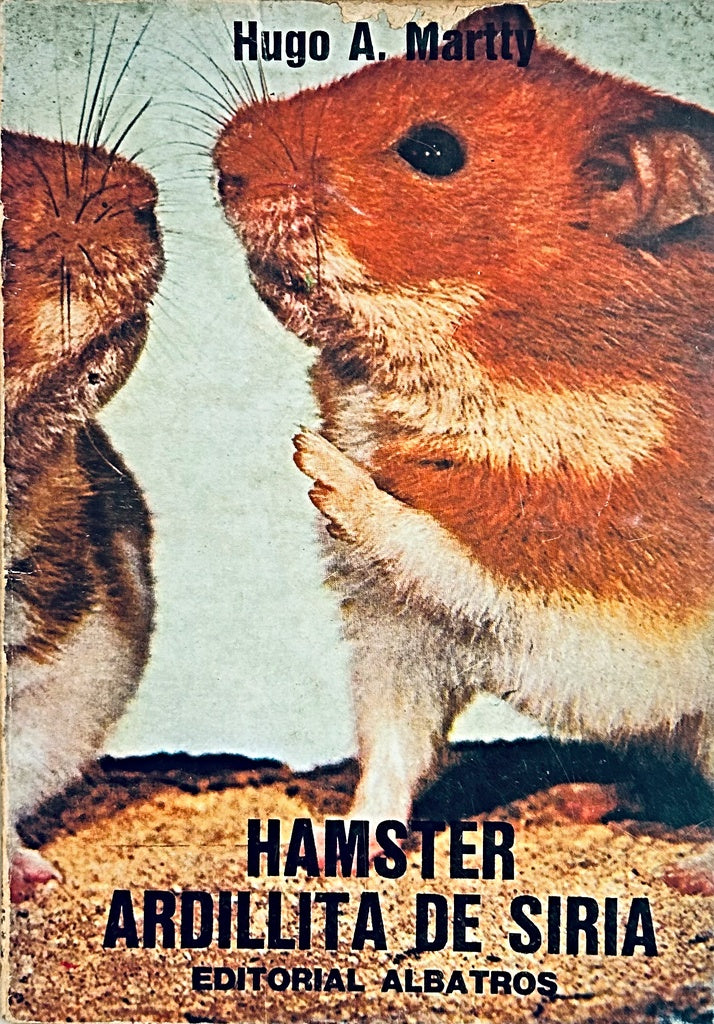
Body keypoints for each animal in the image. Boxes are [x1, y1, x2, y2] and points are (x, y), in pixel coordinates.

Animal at [213, 4, 714, 891]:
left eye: (434, 151)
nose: (220, 165)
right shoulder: (396, 633)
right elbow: (391, 753)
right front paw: (341, 856)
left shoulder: (571, 598)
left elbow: (427, 542)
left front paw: (320, 465)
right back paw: (577, 797)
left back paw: (686, 870)